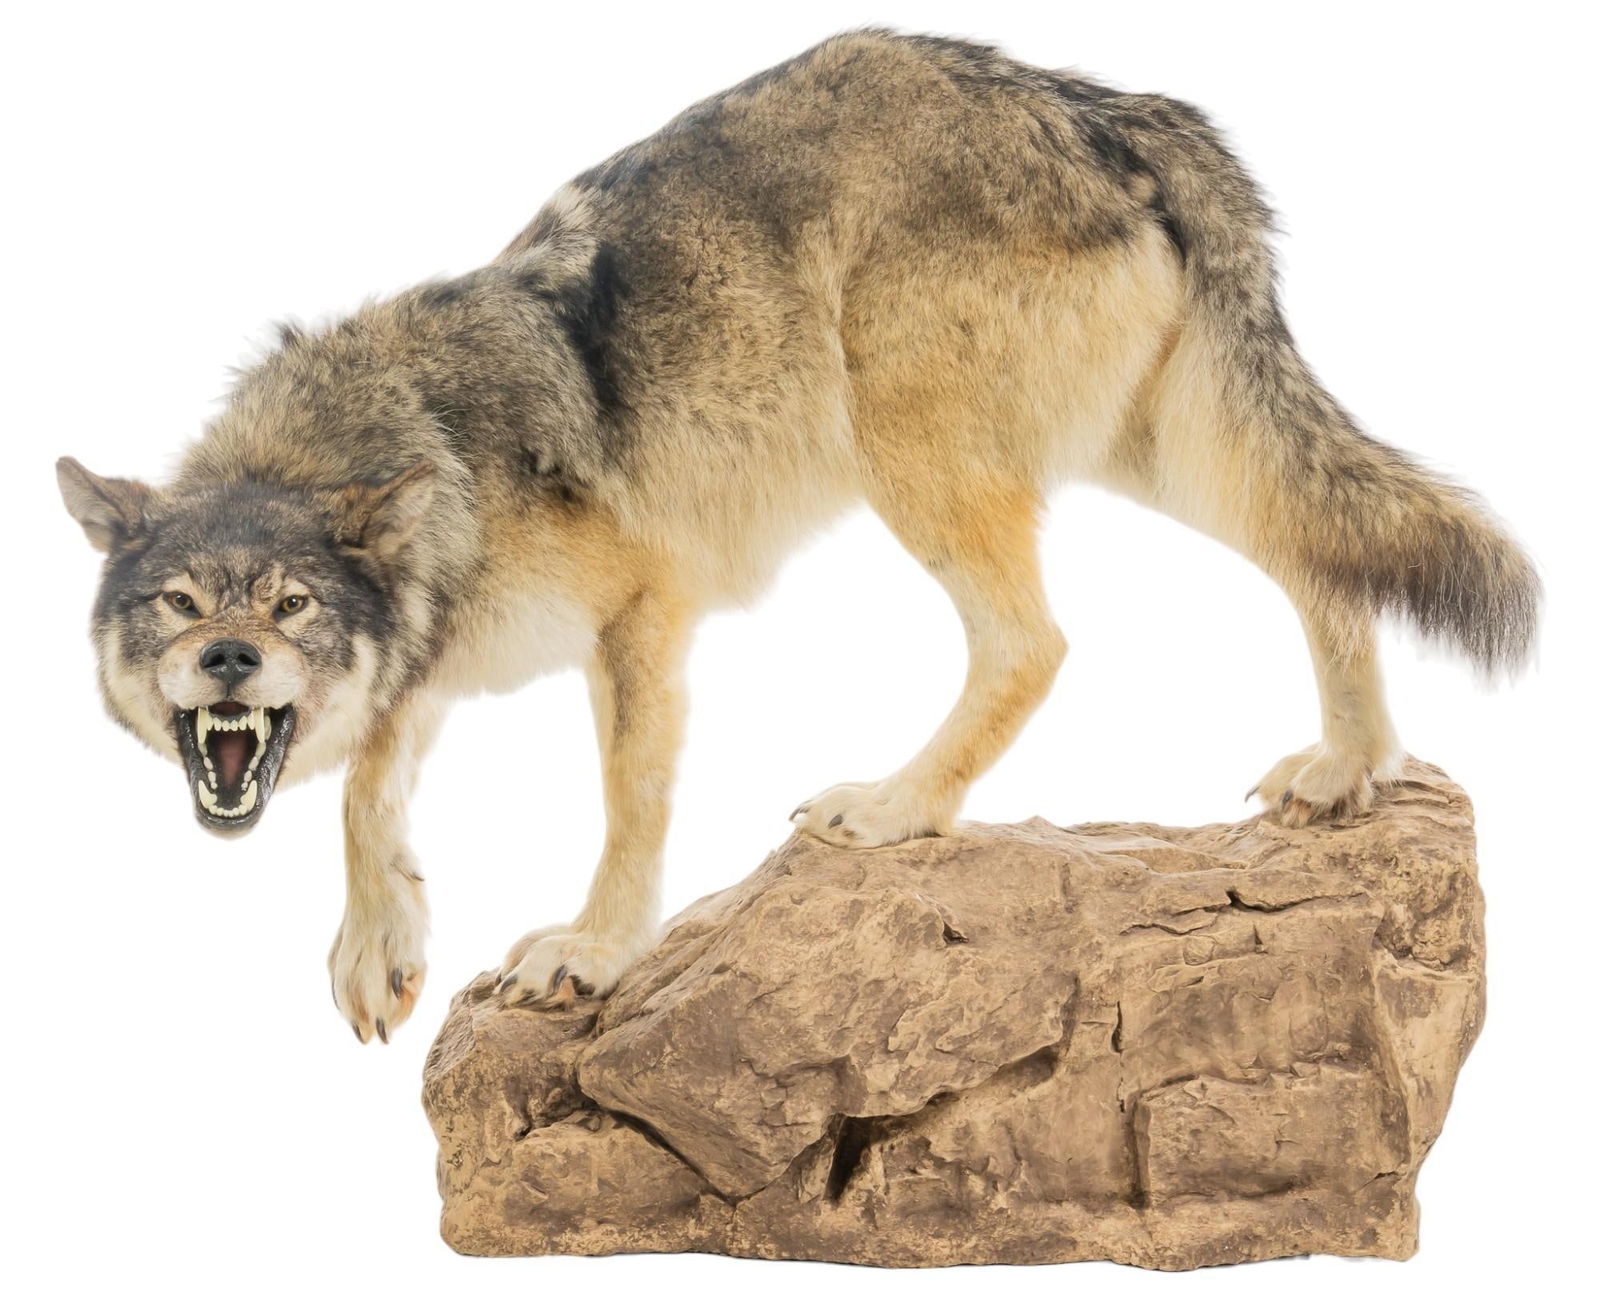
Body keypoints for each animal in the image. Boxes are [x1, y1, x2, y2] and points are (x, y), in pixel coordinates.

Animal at [57, 30, 1538, 1043]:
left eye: (289, 606)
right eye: (179, 607)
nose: (231, 666)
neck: (417, 446)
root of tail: (1108, 103)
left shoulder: (642, 615)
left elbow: (621, 807)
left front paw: (594, 950)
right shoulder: (433, 660)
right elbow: (370, 792)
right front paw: (380, 947)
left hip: (915, 448)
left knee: (1038, 641)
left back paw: (895, 807)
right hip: (1157, 446)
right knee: (1322, 555)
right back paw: (1347, 769)